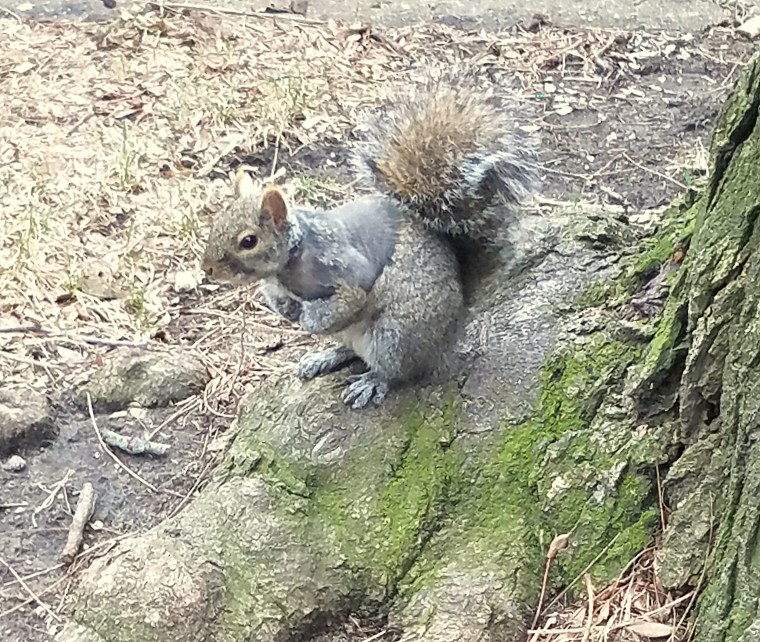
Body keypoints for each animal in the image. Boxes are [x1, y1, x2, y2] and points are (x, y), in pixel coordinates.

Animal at [201, 75, 537, 409]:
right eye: (216, 222)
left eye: (248, 241)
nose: (207, 269)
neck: (290, 259)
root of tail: (453, 325)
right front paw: (285, 309)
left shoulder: (344, 271)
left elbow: (346, 303)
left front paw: (308, 318)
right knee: (351, 351)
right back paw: (325, 356)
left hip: (395, 337)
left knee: (398, 371)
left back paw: (372, 381)